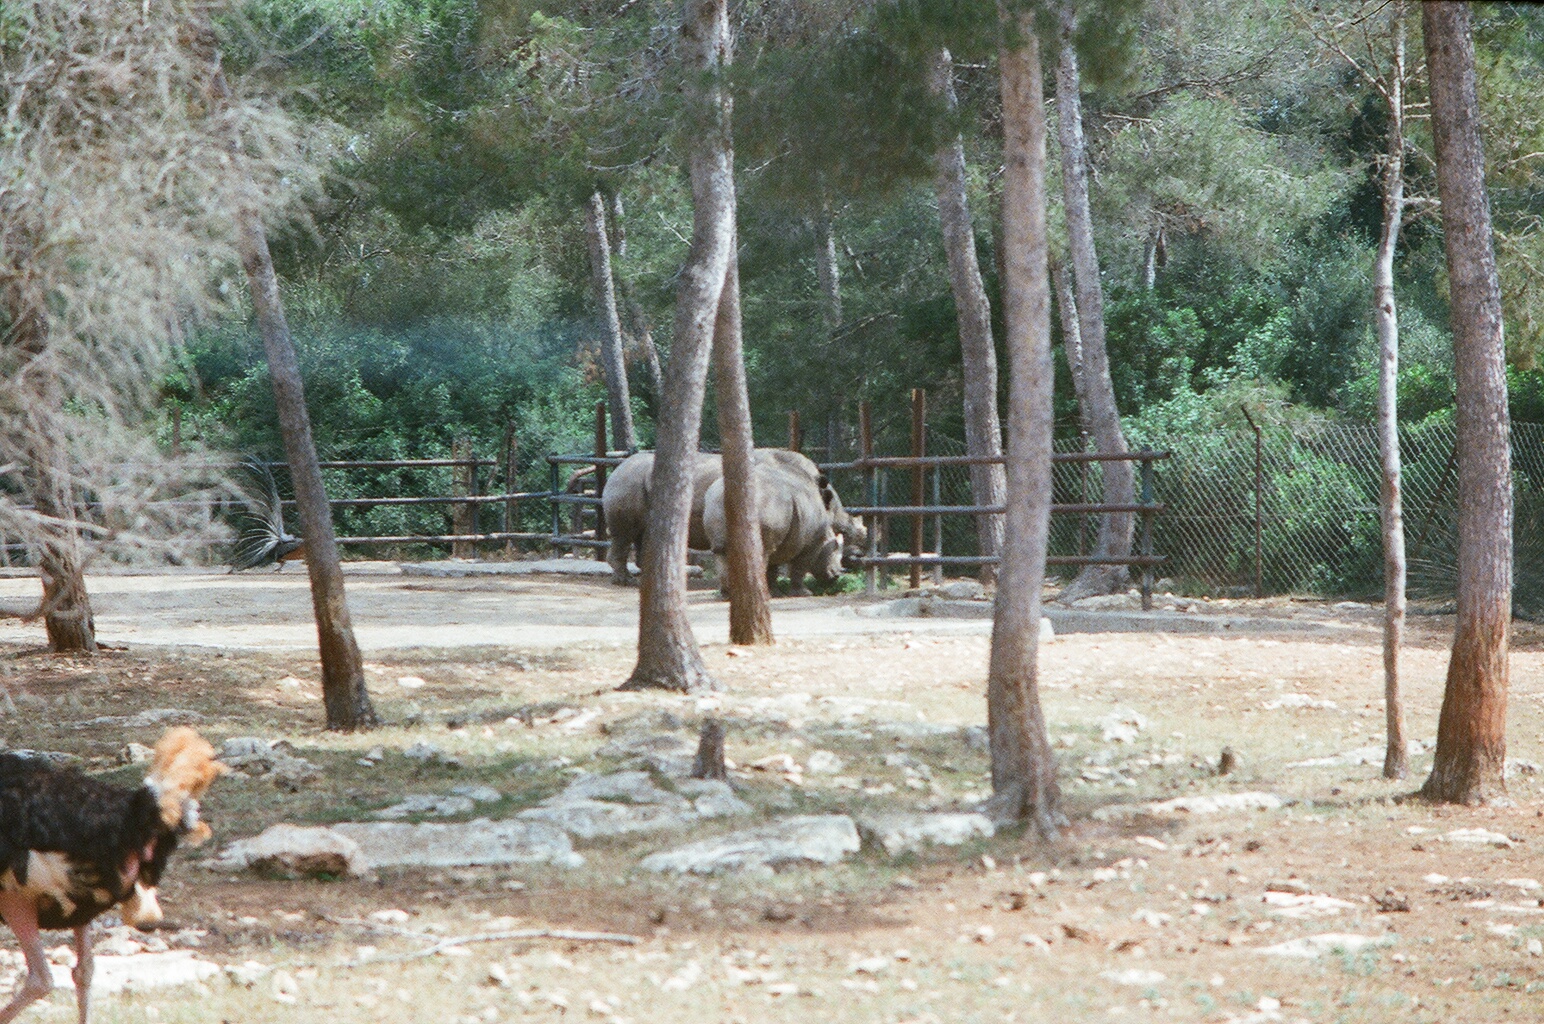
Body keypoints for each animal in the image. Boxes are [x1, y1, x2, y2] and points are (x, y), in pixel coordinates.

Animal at [702, 460, 845, 596]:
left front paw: (775, 593)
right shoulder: (811, 543)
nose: (837, 575)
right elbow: (800, 567)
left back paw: (728, 595)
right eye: (833, 548)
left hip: (714, 502)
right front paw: (804, 593)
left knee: (720, 551)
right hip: (766, 503)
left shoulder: (780, 537)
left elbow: (773, 567)